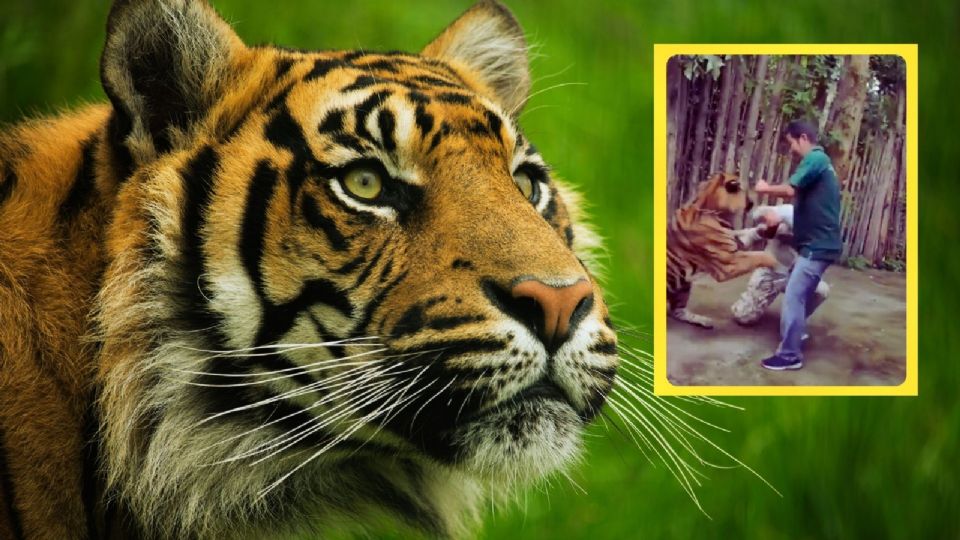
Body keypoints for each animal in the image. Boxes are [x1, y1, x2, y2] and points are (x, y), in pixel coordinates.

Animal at [666, 172, 780, 328]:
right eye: (743, 190)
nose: (752, 202)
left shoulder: (736, 244)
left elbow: (750, 237)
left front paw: (768, 228)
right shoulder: (728, 263)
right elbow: (758, 255)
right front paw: (774, 261)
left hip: (684, 286)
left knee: (677, 311)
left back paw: (704, 321)